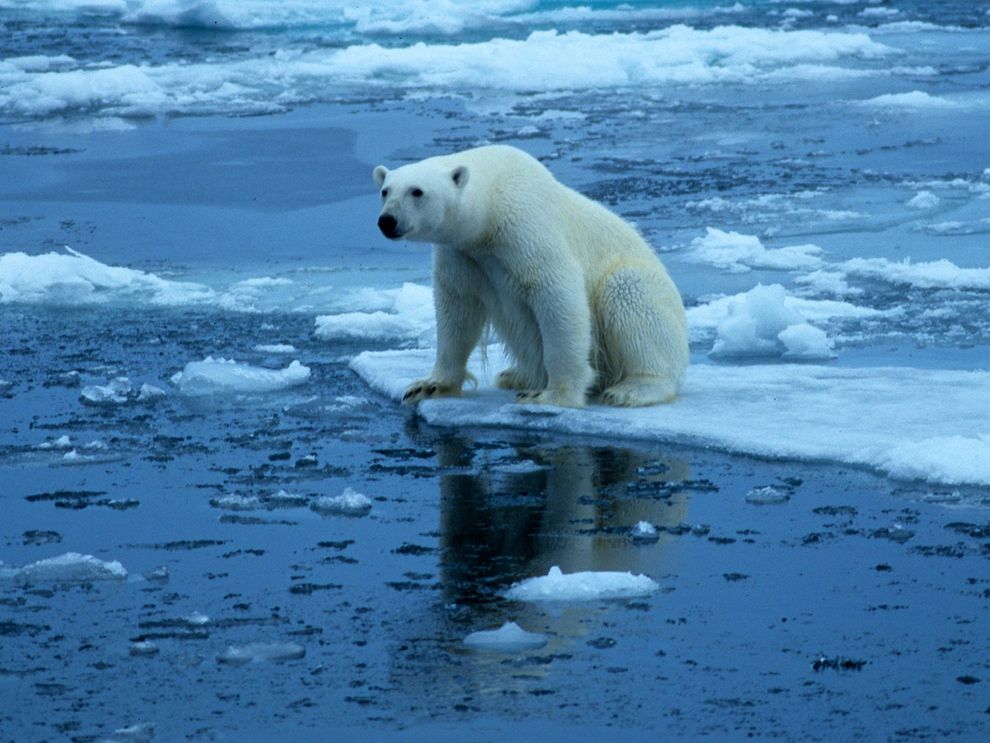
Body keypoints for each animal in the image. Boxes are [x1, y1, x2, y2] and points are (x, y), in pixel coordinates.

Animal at [372, 146, 688, 410]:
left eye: (417, 191)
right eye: (386, 191)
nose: (387, 221)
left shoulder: (526, 230)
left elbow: (557, 296)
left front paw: (552, 395)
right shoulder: (462, 253)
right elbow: (456, 308)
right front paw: (428, 386)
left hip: (643, 290)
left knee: (629, 297)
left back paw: (630, 389)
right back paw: (513, 375)